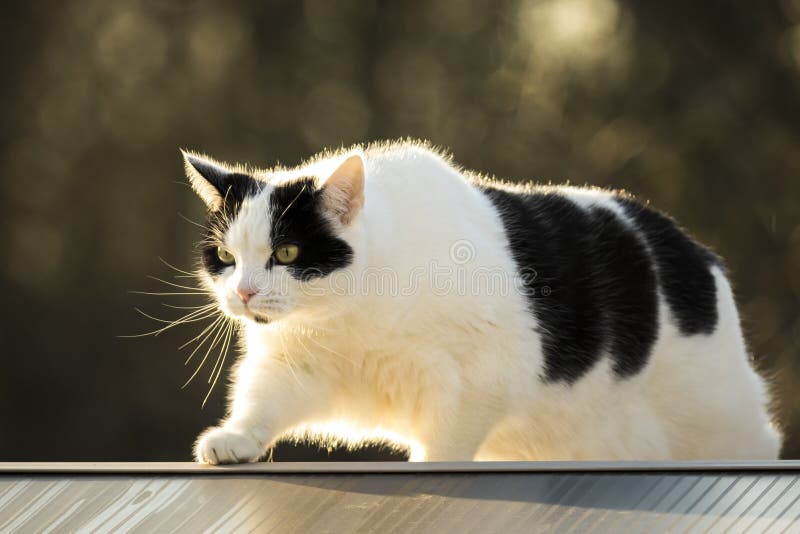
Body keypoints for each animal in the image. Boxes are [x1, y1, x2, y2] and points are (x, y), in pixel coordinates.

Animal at [180, 140, 780, 462]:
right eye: (225, 256)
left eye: (286, 251)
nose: (244, 292)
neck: (354, 312)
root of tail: (697, 252)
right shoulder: (295, 364)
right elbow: (262, 403)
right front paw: (234, 439)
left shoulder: (479, 379)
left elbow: (446, 445)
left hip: (721, 421)